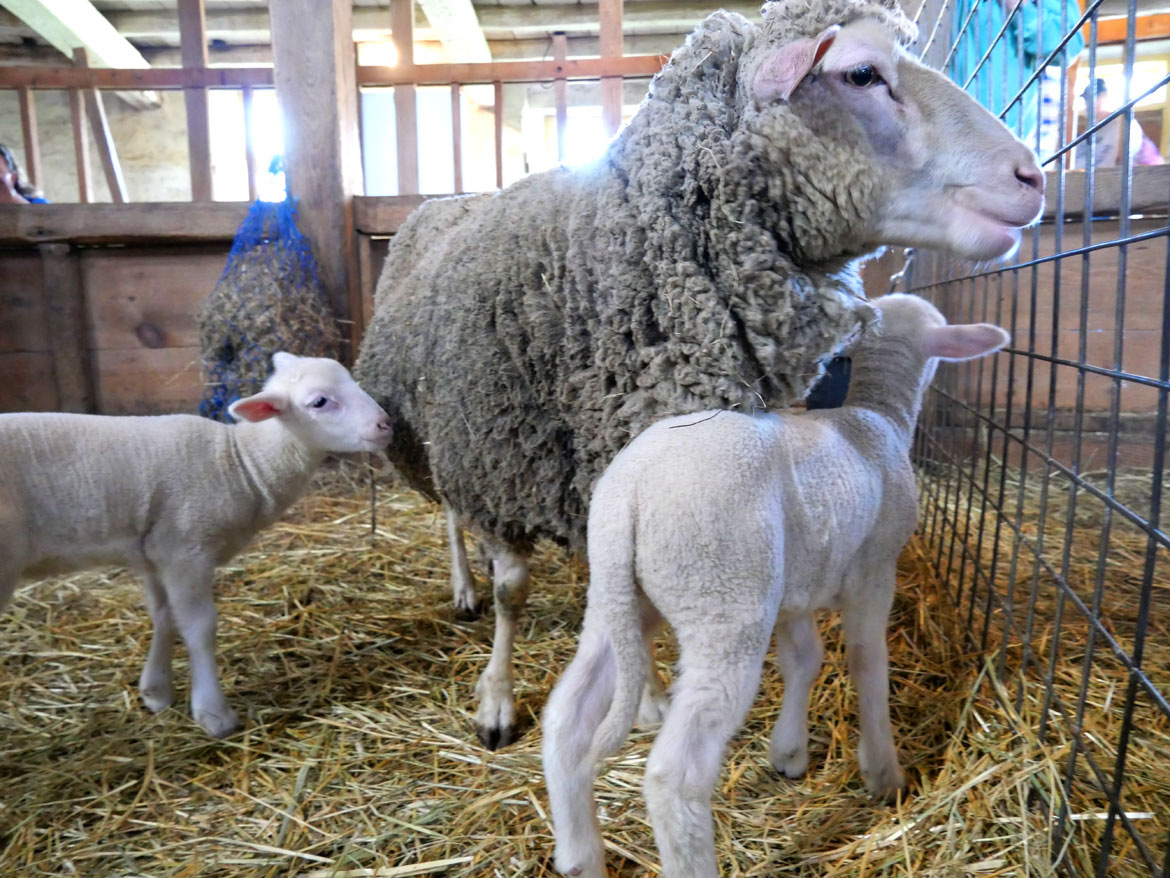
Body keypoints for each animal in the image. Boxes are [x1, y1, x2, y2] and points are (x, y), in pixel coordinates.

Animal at [0, 353, 392, 738]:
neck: (241, 463)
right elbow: (200, 627)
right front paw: (213, 713)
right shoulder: (187, 549)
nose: (386, 424)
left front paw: (156, 691)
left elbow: (164, 615)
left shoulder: (157, 549)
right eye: (319, 402)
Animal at [355, 0, 1045, 748]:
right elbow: (513, 591)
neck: (595, 276)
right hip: (441, 436)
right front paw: (498, 701)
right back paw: (464, 588)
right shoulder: (497, 473)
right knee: (453, 521)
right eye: (861, 73)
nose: (1032, 178)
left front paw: (650, 698)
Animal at [540, 294, 1010, 878]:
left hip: (618, 599)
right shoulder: (875, 571)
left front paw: (789, 752)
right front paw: (883, 773)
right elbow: (867, 662)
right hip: (724, 599)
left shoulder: (797, 590)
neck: (878, 413)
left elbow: (805, 660)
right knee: (675, 775)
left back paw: (580, 854)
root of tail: (631, 491)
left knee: (568, 717)